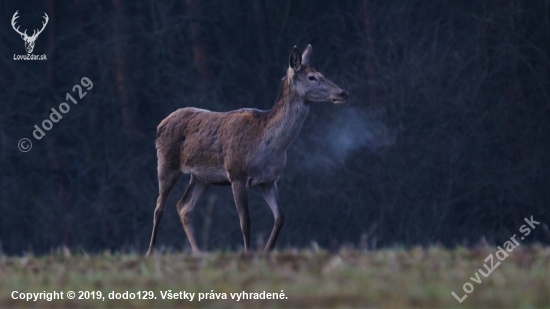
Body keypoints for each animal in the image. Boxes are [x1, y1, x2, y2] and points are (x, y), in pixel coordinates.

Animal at [148, 44, 350, 255]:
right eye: (312, 77)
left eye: (321, 73)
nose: (343, 93)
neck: (267, 147)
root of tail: (161, 124)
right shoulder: (237, 174)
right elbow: (245, 222)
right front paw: (248, 253)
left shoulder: (269, 180)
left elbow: (280, 217)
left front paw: (267, 251)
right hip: (166, 162)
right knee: (159, 206)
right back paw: (150, 251)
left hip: (202, 177)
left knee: (184, 206)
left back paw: (199, 252)